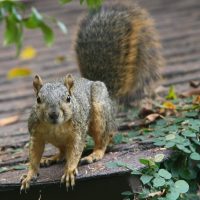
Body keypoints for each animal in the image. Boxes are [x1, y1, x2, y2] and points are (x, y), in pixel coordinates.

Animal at [21, 2, 163, 191]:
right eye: (38, 100)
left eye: (68, 98)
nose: (53, 114)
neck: (55, 127)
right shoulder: (36, 133)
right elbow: (34, 154)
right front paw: (30, 174)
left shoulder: (78, 131)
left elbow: (75, 150)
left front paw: (69, 171)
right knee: (62, 151)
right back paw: (53, 157)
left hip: (100, 114)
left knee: (103, 139)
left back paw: (94, 154)